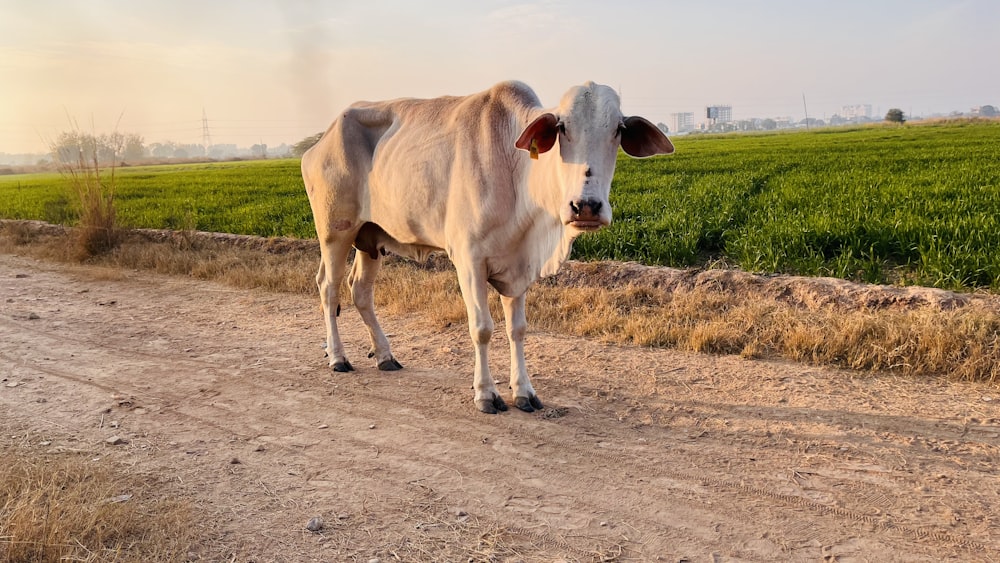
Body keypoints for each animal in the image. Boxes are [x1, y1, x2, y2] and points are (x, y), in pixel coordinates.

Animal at [296, 80, 672, 414]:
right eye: (562, 127)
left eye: (618, 129)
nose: (586, 207)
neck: (518, 174)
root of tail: (319, 142)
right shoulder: (469, 261)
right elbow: (482, 329)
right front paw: (486, 394)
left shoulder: (519, 266)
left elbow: (517, 329)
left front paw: (524, 392)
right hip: (334, 232)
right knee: (328, 288)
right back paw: (338, 356)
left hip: (370, 239)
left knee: (360, 291)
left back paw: (385, 355)